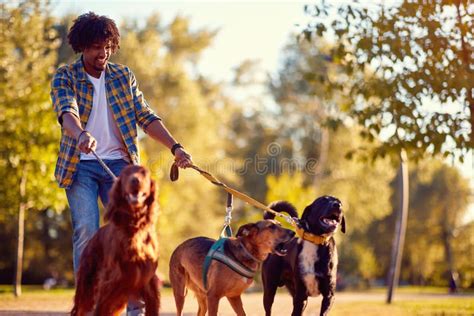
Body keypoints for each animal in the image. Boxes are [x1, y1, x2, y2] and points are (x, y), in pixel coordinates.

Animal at [70, 165, 159, 316]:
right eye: (126, 173)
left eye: (144, 173)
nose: (135, 180)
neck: (134, 227)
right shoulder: (110, 284)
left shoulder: (149, 285)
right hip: (87, 284)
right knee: (79, 309)